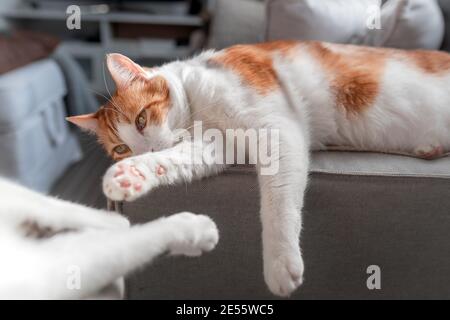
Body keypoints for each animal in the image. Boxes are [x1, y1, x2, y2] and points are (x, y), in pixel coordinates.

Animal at [68, 40, 450, 298]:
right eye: (121, 149)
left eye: (142, 119)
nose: (143, 149)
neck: (197, 104)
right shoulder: (218, 146)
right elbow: (173, 161)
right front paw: (131, 173)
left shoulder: (276, 128)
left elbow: (277, 202)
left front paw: (281, 262)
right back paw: (430, 148)